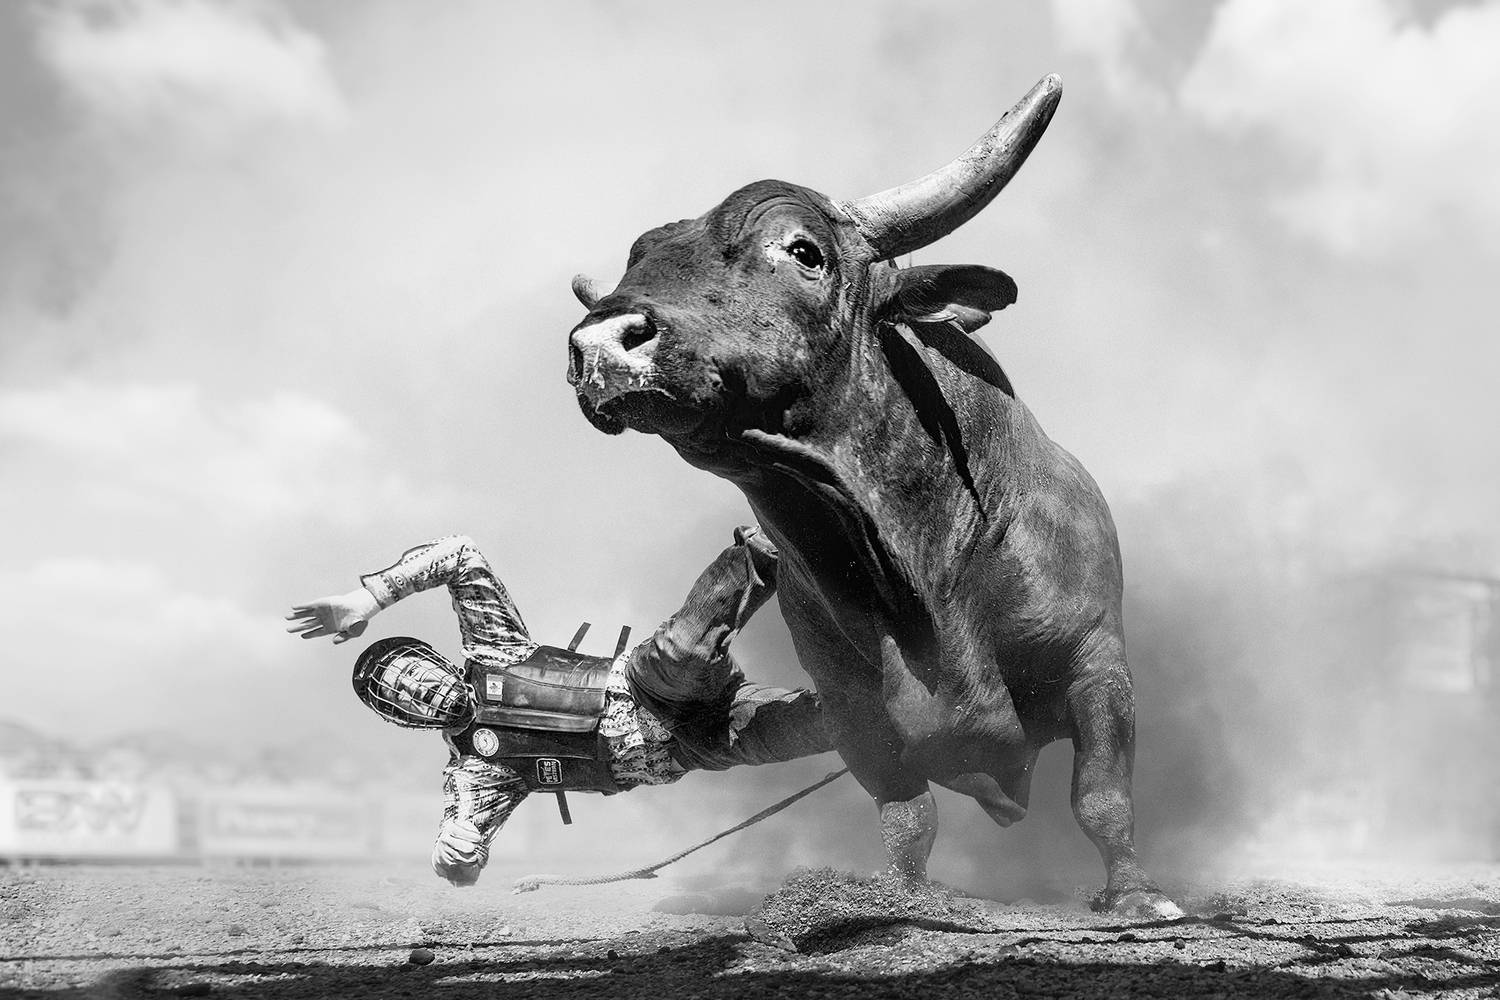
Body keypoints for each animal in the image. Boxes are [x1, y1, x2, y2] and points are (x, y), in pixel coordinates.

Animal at [564, 74, 1182, 918]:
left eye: (804, 250)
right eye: (640, 260)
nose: (603, 341)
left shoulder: (1100, 663)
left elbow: (1102, 792)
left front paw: (1137, 896)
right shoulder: (851, 710)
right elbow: (906, 812)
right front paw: (902, 896)